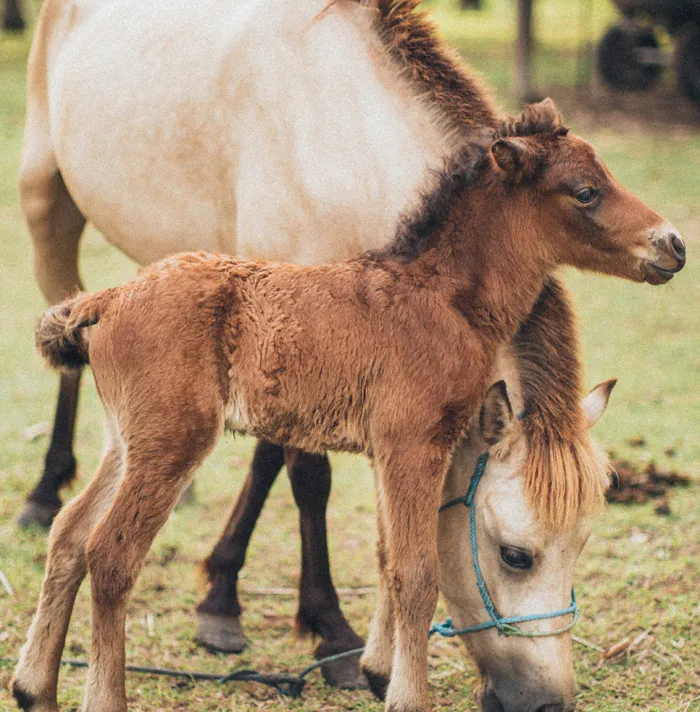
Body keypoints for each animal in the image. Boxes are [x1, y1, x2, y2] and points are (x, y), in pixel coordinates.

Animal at [13, 103, 684, 712]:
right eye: (586, 192)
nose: (673, 243)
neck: (444, 298)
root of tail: (109, 296)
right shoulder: (415, 441)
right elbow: (416, 571)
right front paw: (406, 696)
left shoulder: (389, 449)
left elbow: (388, 555)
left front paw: (379, 674)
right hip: (172, 441)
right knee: (111, 554)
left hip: (127, 439)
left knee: (69, 532)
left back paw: (33, 687)